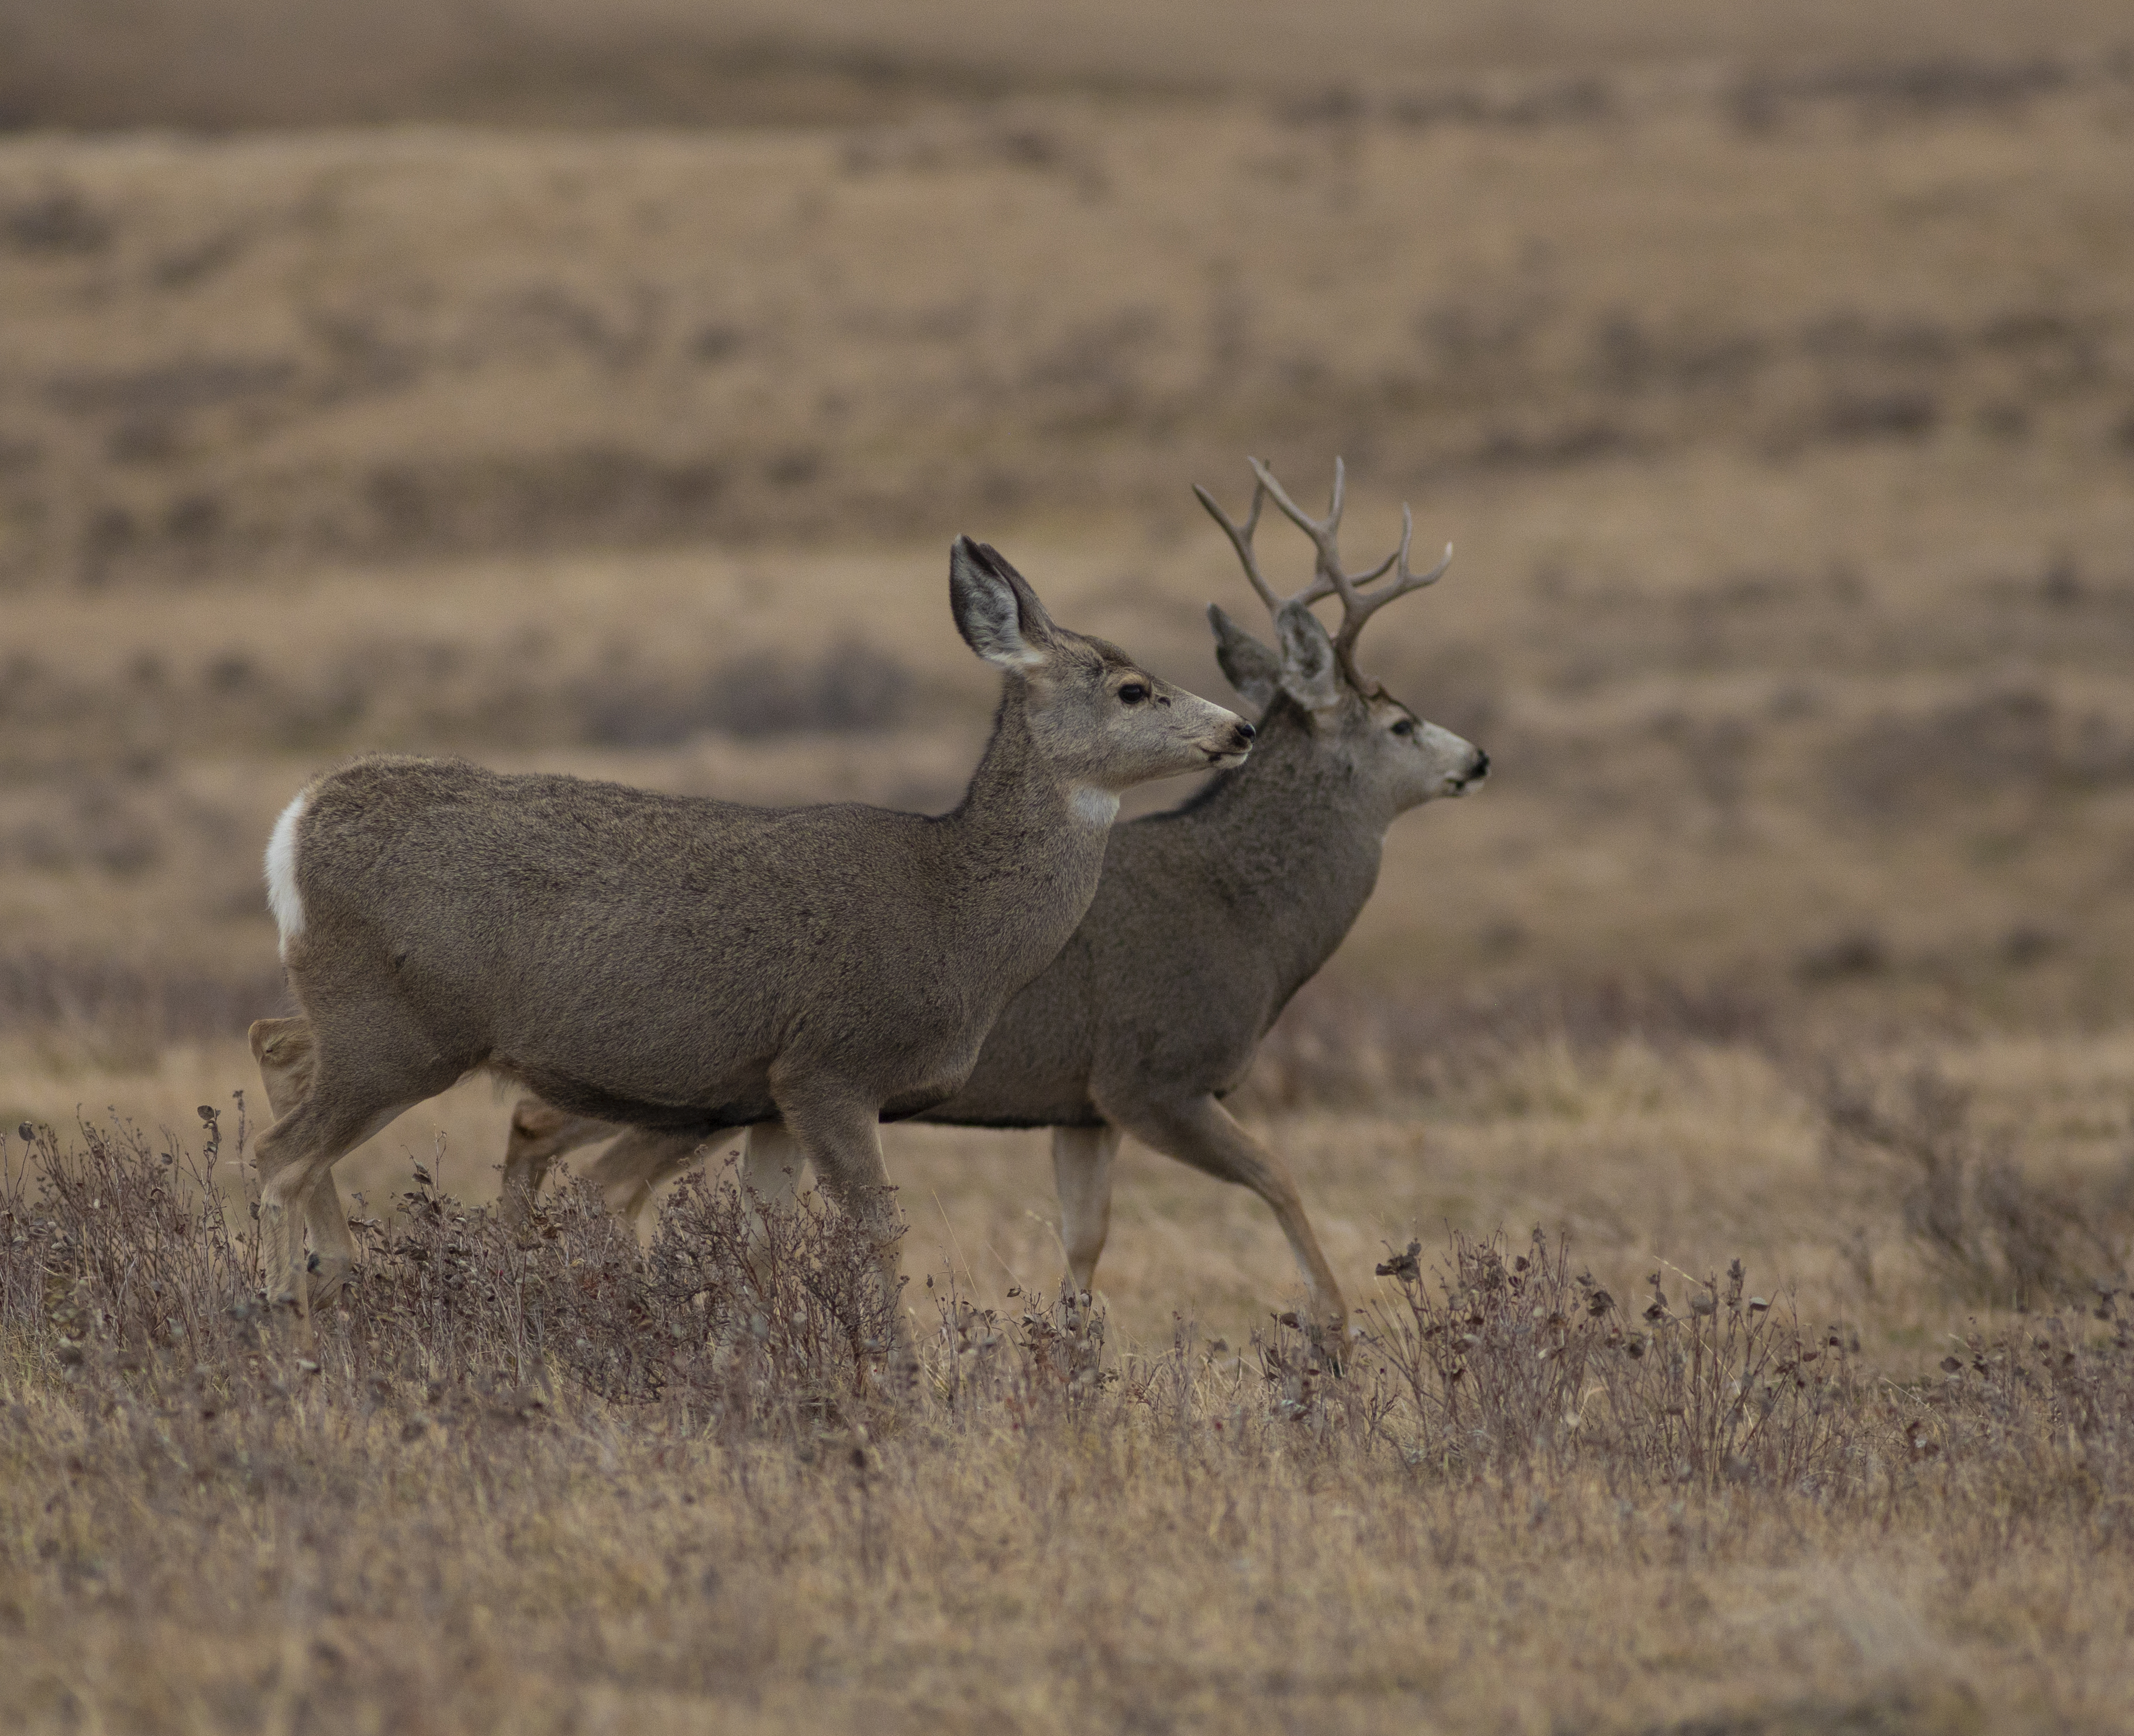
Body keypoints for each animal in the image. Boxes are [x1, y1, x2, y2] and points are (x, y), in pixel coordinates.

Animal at [253, 460, 1484, 1346]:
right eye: (1131, 687)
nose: (1230, 729)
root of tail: (297, 815)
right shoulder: (893, 1069)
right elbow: (885, 1239)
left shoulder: (803, 1095)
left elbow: (1046, 1247)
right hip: (409, 1029)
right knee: (282, 1152)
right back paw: (291, 1298)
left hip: (537, 1058)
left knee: (318, 1077)